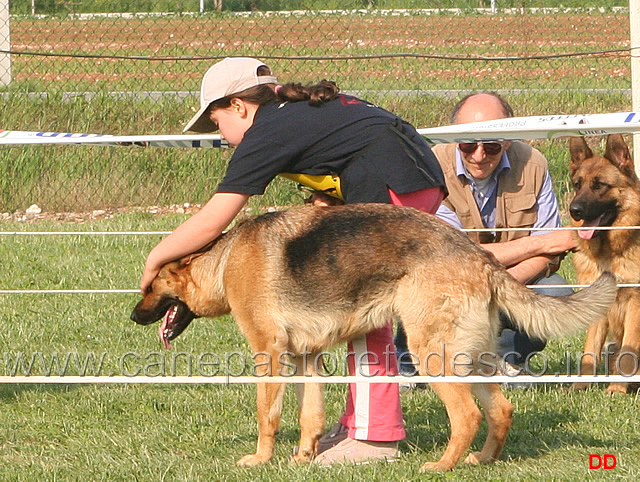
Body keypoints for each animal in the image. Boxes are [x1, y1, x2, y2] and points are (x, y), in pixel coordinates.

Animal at [130, 202, 616, 470]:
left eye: (149, 286)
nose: (134, 316)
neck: (224, 259)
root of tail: (479, 255)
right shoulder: (306, 359)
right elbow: (310, 416)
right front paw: (302, 459)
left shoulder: (269, 355)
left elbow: (268, 415)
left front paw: (260, 460)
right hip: (468, 359)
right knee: (501, 409)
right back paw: (483, 460)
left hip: (431, 355)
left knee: (467, 416)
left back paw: (442, 465)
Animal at [568, 134, 640, 394]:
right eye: (577, 185)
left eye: (599, 185)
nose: (574, 210)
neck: (611, 253)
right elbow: (590, 350)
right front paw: (580, 387)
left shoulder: (635, 304)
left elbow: (628, 351)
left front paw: (617, 388)